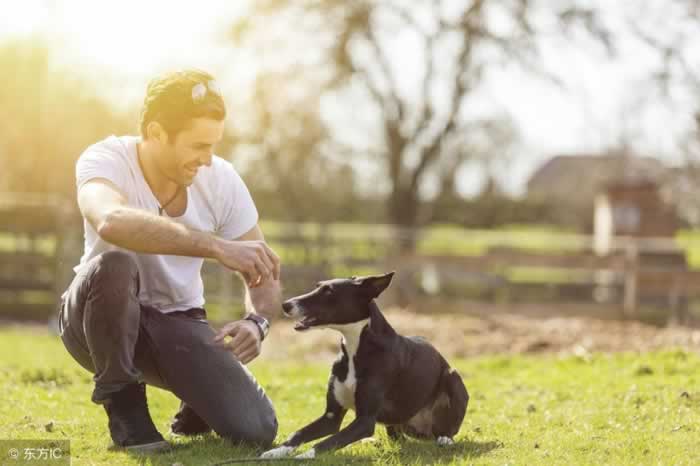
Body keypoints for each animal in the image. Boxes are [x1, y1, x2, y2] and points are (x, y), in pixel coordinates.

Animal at [262, 274, 470, 458]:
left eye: (329, 291)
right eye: (317, 286)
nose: (285, 305)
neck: (356, 347)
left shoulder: (365, 421)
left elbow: (330, 441)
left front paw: (305, 456)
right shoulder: (331, 417)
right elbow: (300, 433)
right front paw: (276, 451)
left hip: (453, 377)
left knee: (448, 428)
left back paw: (445, 439)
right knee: (397, 437)